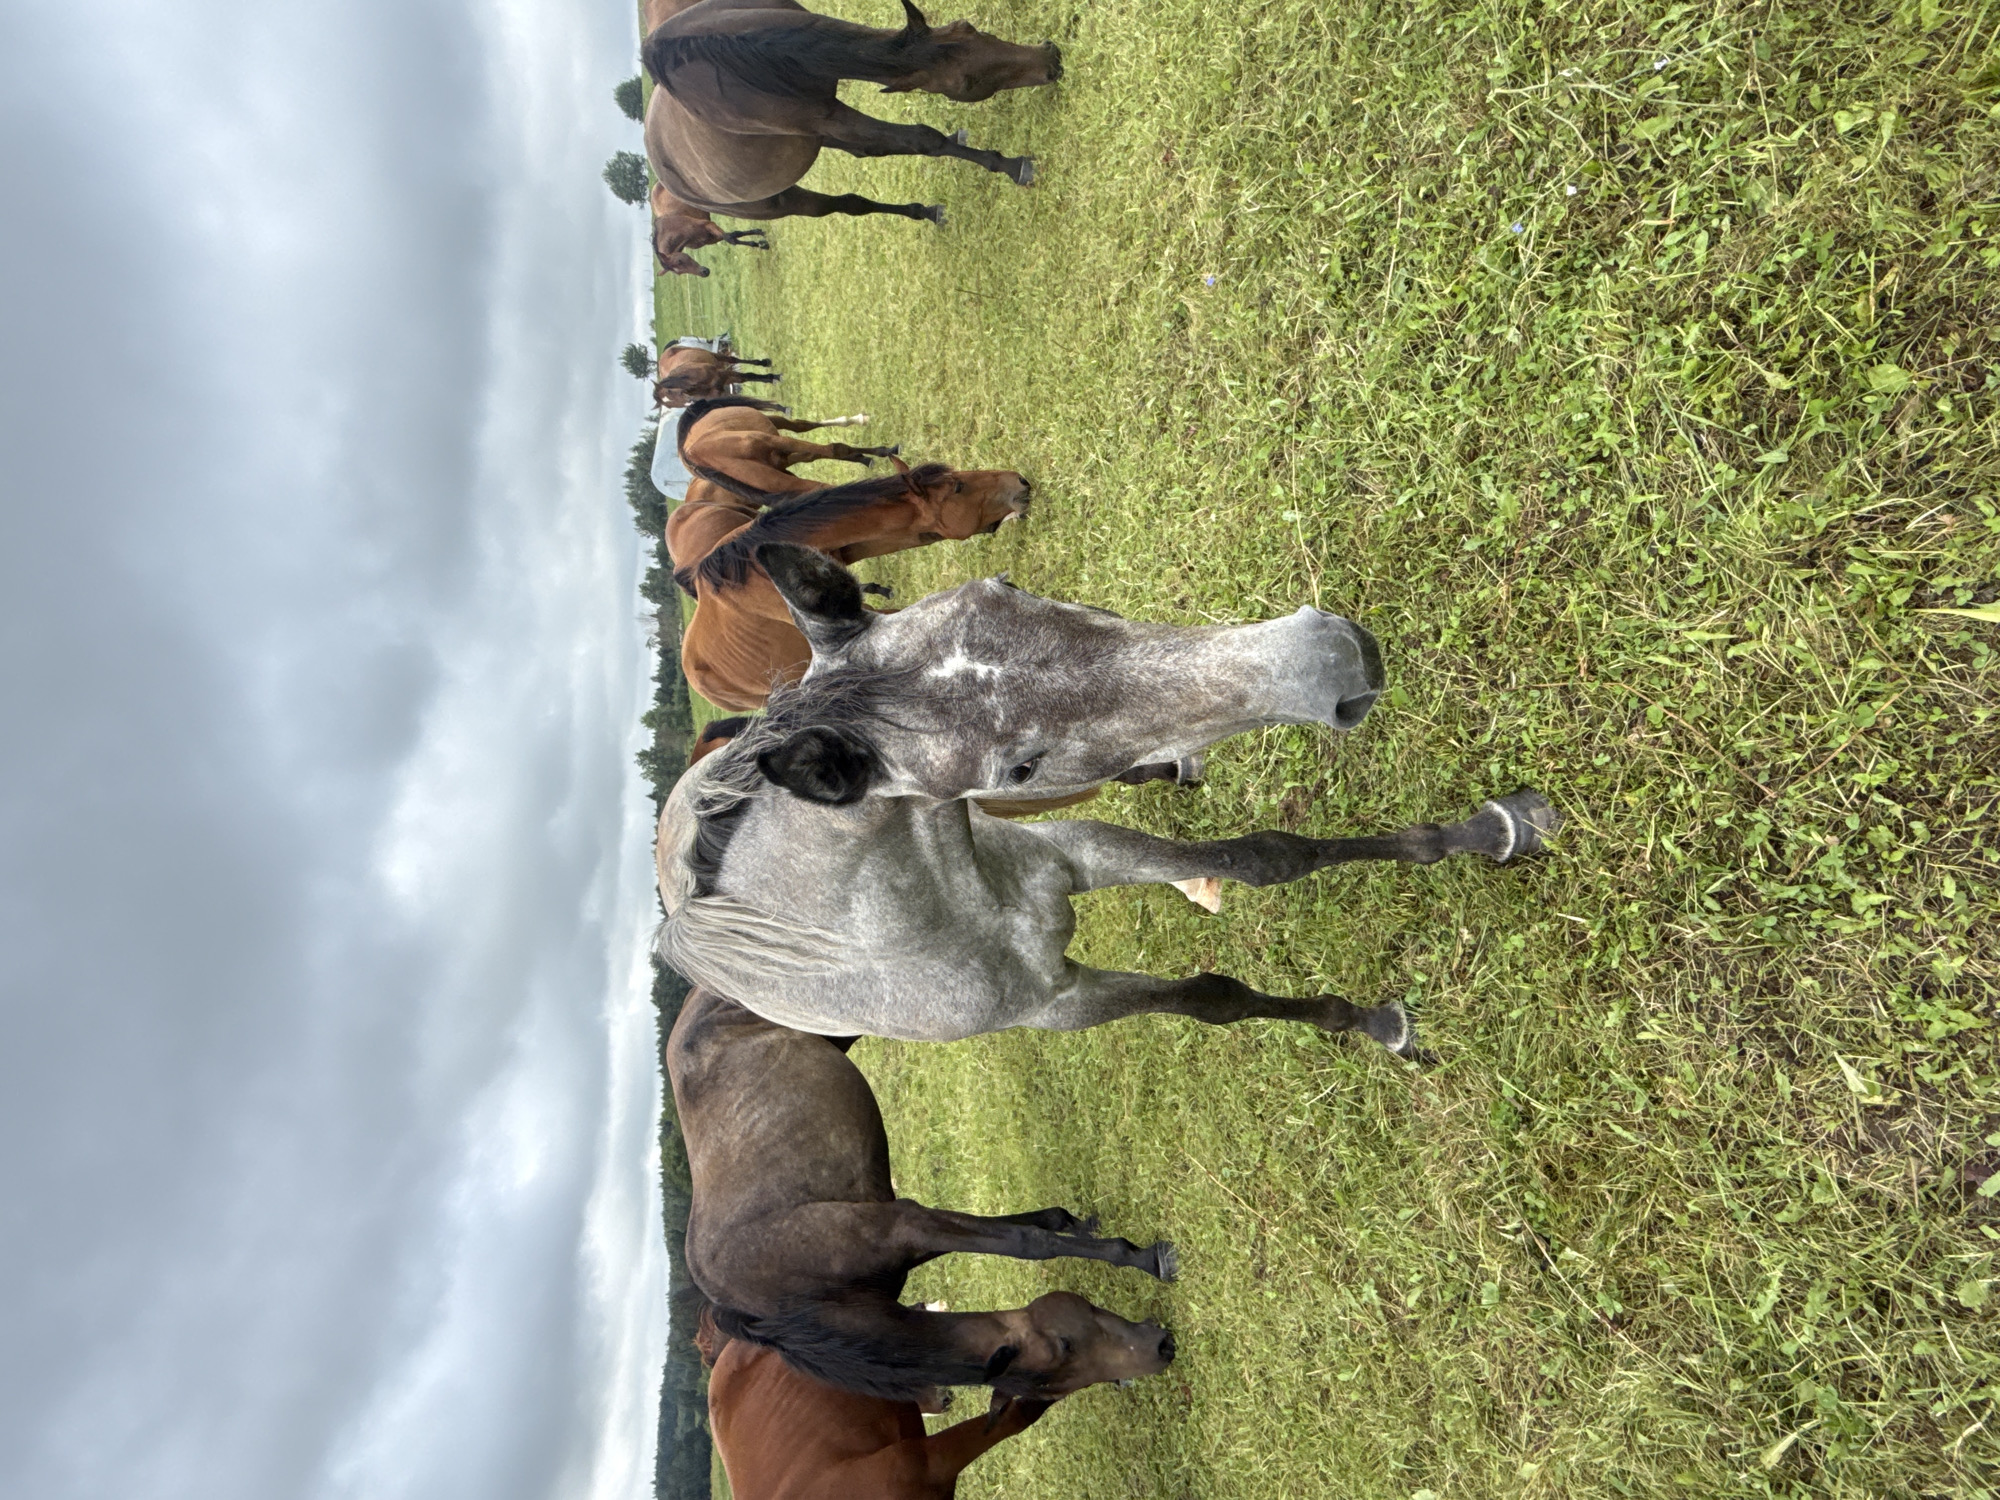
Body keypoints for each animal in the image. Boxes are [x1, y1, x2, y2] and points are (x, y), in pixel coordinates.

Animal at [642, 0, 1061, 229]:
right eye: (967, 82)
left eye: (970, 27)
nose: (1051, 58)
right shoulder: (827, 117)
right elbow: (924, 139)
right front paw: (1012, 165)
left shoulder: (826, 119)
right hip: (782, 199)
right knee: (847, 204)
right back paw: (923, 211)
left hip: (818, 140)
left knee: (866, 153)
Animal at [654, 546, 1562, 1053]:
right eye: (1016, 767)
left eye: (1007, 584)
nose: (1330, 660)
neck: (945, 915)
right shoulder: (1064, 1005)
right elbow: (1212, 999)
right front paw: (1373, 1027)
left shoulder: (1076, 849)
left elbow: (1268, 857)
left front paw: (1499, 829)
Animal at [667, 984, 1177, 1406]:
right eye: (1064, 1353)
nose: (1162, 1347)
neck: (800, 1302)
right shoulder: (910, 1228)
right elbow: (1022, 1234)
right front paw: (1095, 1233)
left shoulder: (904, 1225)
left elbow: (1024, 1243)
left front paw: (1142, 1255)